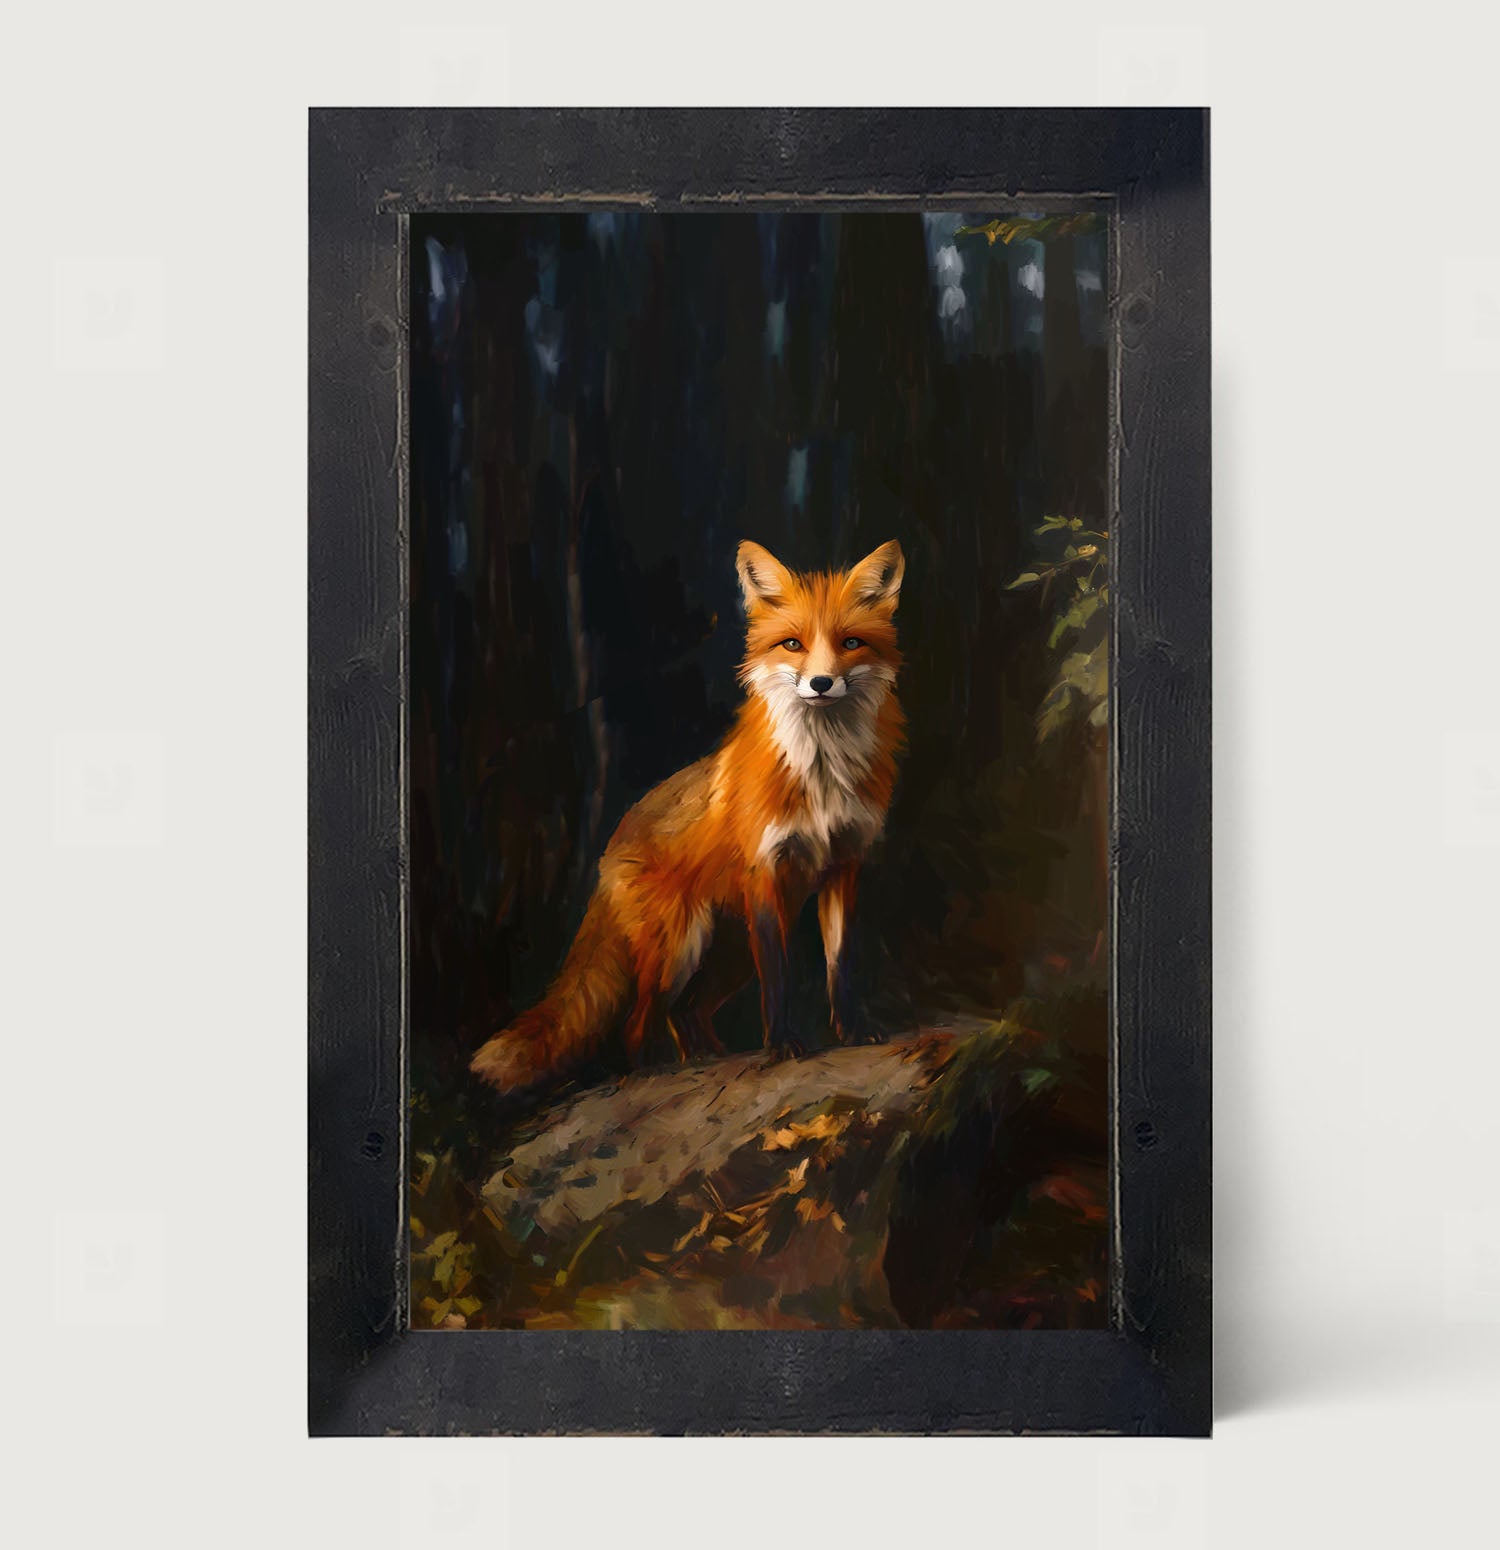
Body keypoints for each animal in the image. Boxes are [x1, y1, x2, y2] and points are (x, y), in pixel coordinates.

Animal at [469, 538, 907, 1094]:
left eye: (850, 642)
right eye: (792, 644)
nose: (822, 682)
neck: (822, 772)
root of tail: (610, 847)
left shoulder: (843, 865)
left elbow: (839, 965)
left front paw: (852, 1031)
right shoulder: (766, 872)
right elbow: (780, 980)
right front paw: (782, 1045)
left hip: (731, 952)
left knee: (687, 1013)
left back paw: (706, 1060)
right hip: (681, 947)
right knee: (638, 1025)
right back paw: (654, 1072)